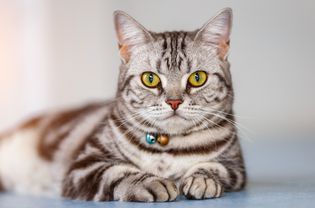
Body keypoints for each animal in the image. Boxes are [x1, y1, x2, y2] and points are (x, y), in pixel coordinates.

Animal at [0, 7, 247, 202]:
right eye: (150, 79)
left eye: (197, 78)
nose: (174, 101)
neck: (169, 147)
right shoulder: (84, 164)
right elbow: (119, 172)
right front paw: (151, 182)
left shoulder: (237, 167)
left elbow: (216, 167)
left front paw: (202, 179)